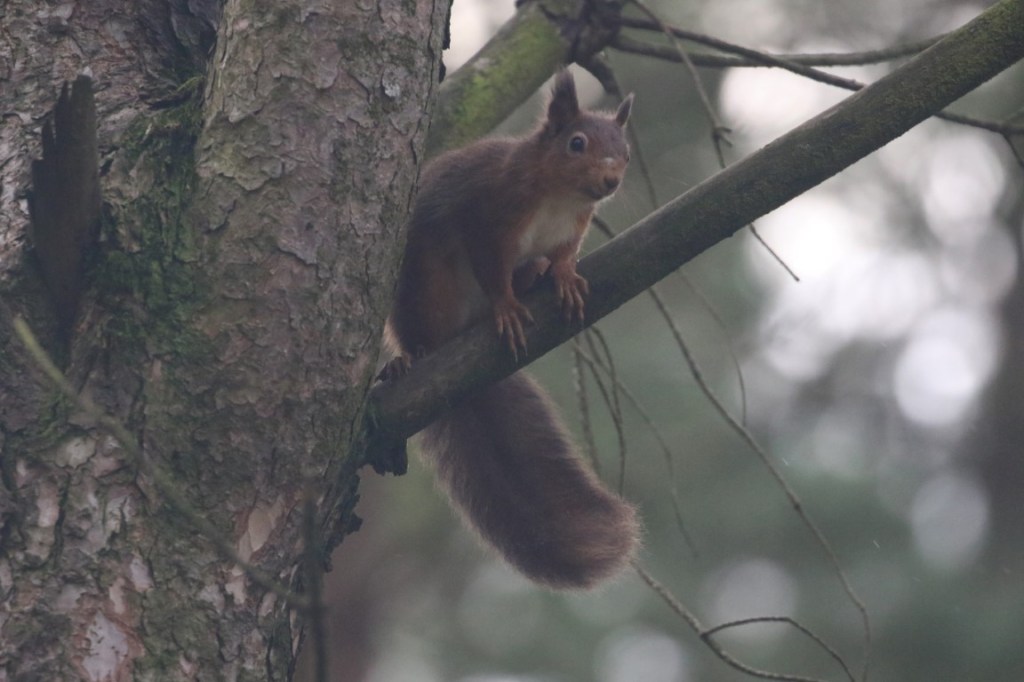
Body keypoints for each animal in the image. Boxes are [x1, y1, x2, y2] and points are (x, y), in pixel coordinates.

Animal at [382, 70, 638, 589]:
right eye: (576, 143)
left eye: (624, 151)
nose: (610, 181)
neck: (560, 197)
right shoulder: (489, 214)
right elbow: (490, 268)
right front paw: (505, 306)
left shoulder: (572, 229)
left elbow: (564, 255)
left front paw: (564, 277)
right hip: (429, 287)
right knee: (421, 330)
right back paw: (412, 356)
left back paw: (536, 276)